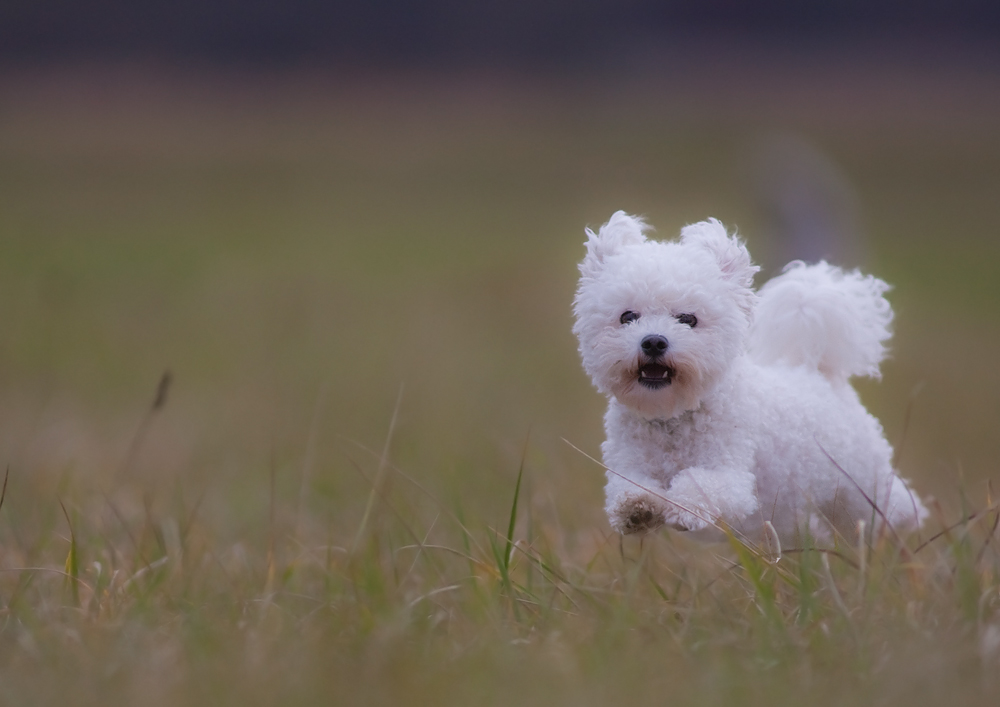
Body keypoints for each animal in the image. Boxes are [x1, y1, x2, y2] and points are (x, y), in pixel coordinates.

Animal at [576, 213, 924, 544]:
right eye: (627, 317)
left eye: (688, 319)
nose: (653, 342)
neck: (672, 418)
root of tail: (819, 371)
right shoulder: (627, 464)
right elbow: (630, 489)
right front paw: (638, 508)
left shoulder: (731, 475)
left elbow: (700, 486)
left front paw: (684, 507)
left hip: (861, 484)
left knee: (892, 508)